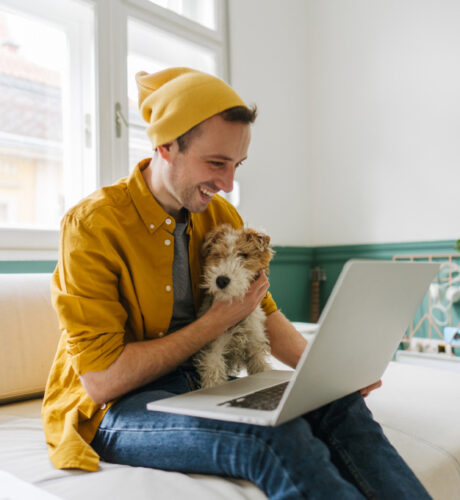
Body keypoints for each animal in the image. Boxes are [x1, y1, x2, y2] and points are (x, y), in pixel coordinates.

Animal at [193, 224, 274, 390]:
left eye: (243, 255)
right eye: (217, 254)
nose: (221, 280)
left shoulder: (255, 349)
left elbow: (261, 368)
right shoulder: (214, 351)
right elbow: (213, 377)